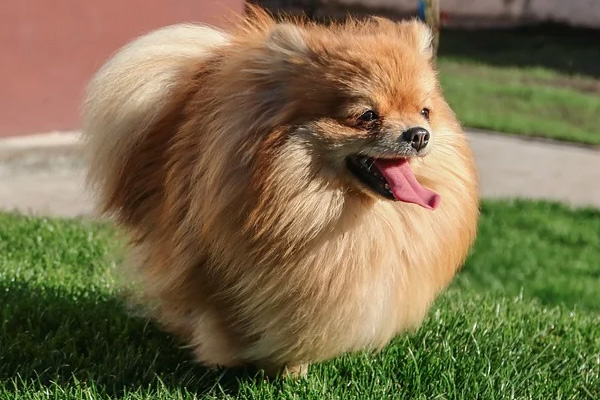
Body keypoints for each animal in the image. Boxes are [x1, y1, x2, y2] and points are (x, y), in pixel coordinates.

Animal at [83, 7, 478, 376]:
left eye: (424, 112)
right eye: (367, 116)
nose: (419, 135)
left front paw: (291, 369)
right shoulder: (214, 265)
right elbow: (225, 315)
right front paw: (236, 360)